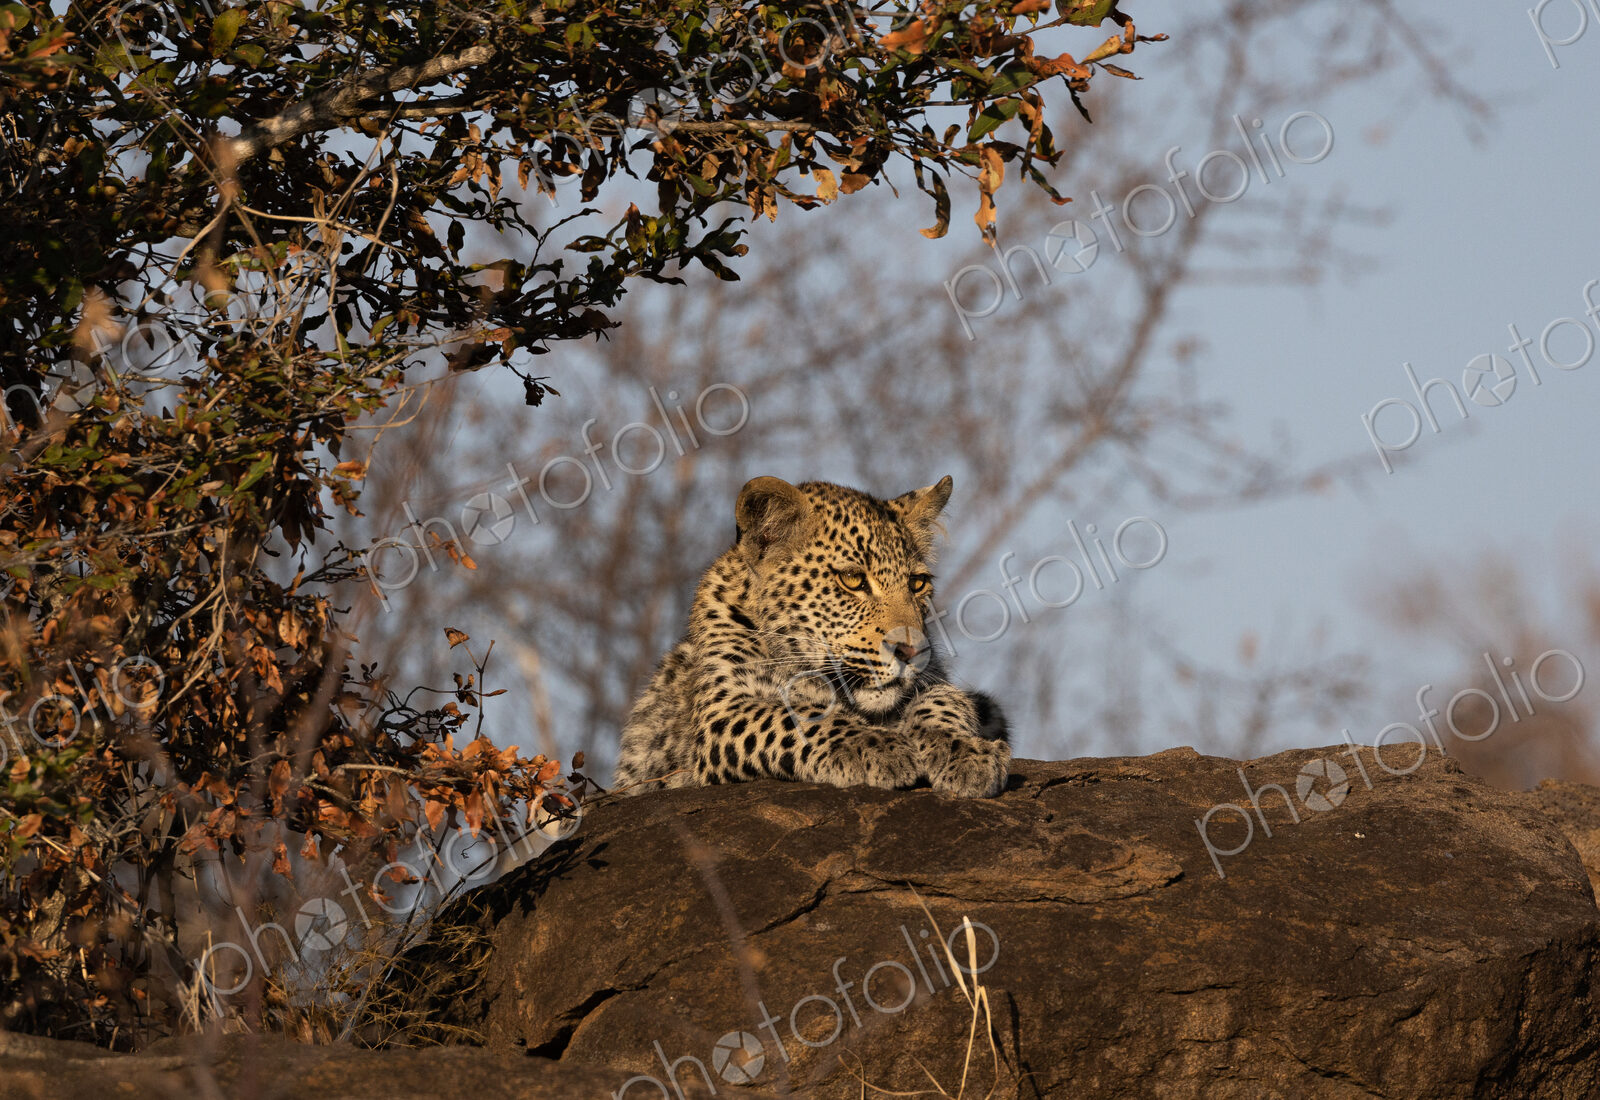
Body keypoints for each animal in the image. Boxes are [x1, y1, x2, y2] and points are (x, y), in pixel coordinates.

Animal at [613, 475, 1011, 798]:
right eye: (852, 579)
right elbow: (793, 716)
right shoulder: (722, 710)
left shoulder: (941, 684)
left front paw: (966, 752)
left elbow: (946, 702)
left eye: (917, 584)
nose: (912, 652)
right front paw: (872, 745)